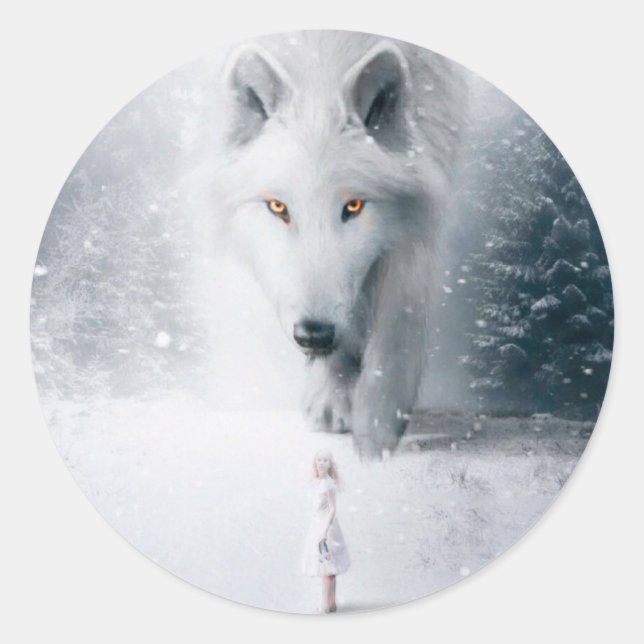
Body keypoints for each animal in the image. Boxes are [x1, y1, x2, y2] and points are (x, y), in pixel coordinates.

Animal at [206, 30, 467, 459]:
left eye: (354, 206)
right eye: (278, 207)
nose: (313, 334)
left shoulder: (420, 199)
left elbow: (400, 316)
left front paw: (378, 425)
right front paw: (333, 395)